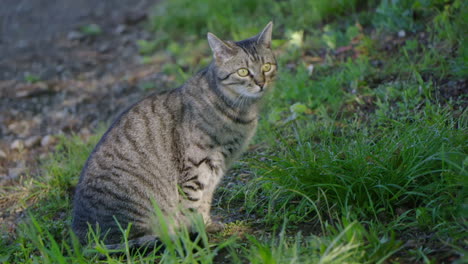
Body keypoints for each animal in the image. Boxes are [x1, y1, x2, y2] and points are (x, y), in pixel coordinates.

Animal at [72, 21, 276, 246]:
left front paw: (207, 226)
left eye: (266, 67)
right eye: (243, 72)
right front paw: (197, 235)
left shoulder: (214, 169)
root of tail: (79, 234)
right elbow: (192, 207)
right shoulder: (195, 168)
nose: (261, 83)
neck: (240, 110)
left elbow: (204, 202)